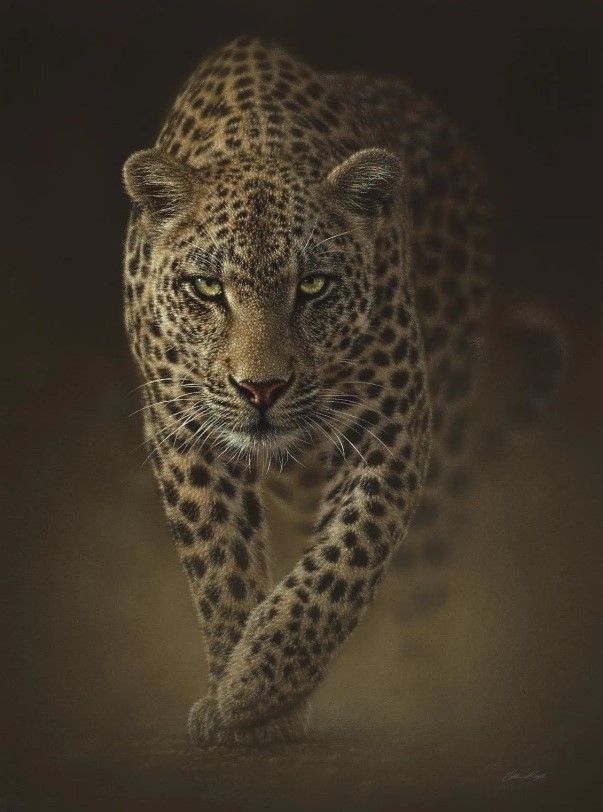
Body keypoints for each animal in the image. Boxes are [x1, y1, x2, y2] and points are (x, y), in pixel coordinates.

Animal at [122, 36, 564, 746]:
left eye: (314, 286)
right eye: (208, 288)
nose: (261, 389)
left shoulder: (394, 419)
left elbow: (345, 560)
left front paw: (259, 688)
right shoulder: (180, 426)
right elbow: (220, 561)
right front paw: (238, 696)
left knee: (425, 570)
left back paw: (420, 684)